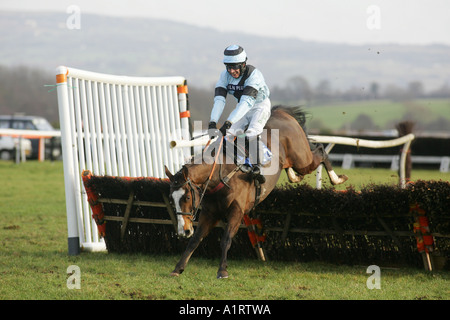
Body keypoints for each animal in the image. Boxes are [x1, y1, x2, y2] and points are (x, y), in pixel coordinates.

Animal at [163, 105, 346, 278]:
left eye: (187, 197)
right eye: (171, 199)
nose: (184, 231)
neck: (219, 175)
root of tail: (280, 112)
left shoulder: (237, 211)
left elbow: (226, 240)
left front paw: (222, 270)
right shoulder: (209, 212)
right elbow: (195, 240)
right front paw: (178, 268)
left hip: (302, 159)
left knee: (321, 151)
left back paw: (337, 178)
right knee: (294, 166)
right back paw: (295, 176)